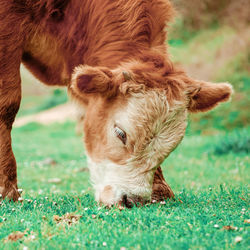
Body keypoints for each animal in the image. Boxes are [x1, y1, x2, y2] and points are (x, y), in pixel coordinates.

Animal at [0, 0, 232, 207]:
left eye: (172, 147)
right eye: (120, 133)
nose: (132, 200)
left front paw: (159, 189)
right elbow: (7, 103)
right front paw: (6, 190)